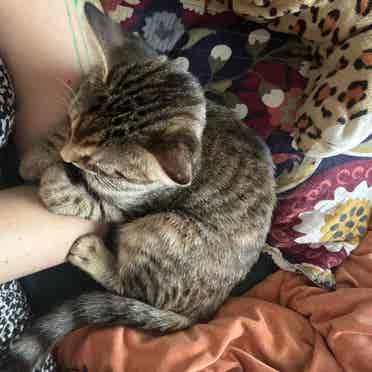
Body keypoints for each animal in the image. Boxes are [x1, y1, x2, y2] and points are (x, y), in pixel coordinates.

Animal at [1, 3, 276, 372]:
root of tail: (204, 312)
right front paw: (40, 155)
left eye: (99, 165)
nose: (68, 159)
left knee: (130, 288)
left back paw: (92, 254)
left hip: (160, 230)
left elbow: (81, 199)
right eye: (72, 123)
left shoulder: (123, 206)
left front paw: (52, 177)